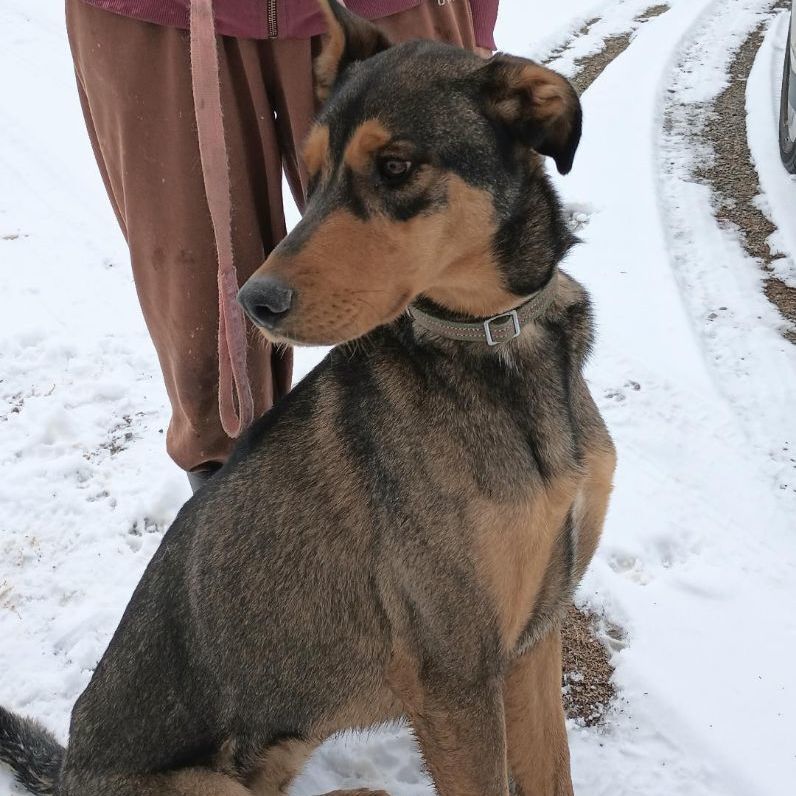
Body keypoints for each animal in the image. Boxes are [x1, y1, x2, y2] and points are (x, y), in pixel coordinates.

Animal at [0, 1, 616, 796]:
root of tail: (70, 770)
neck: (496, 342)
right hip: (204, 784)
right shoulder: (453, 673)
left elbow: (553, 772)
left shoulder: (533, 640)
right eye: (314, 173)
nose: (253, 302)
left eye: (396, 167)